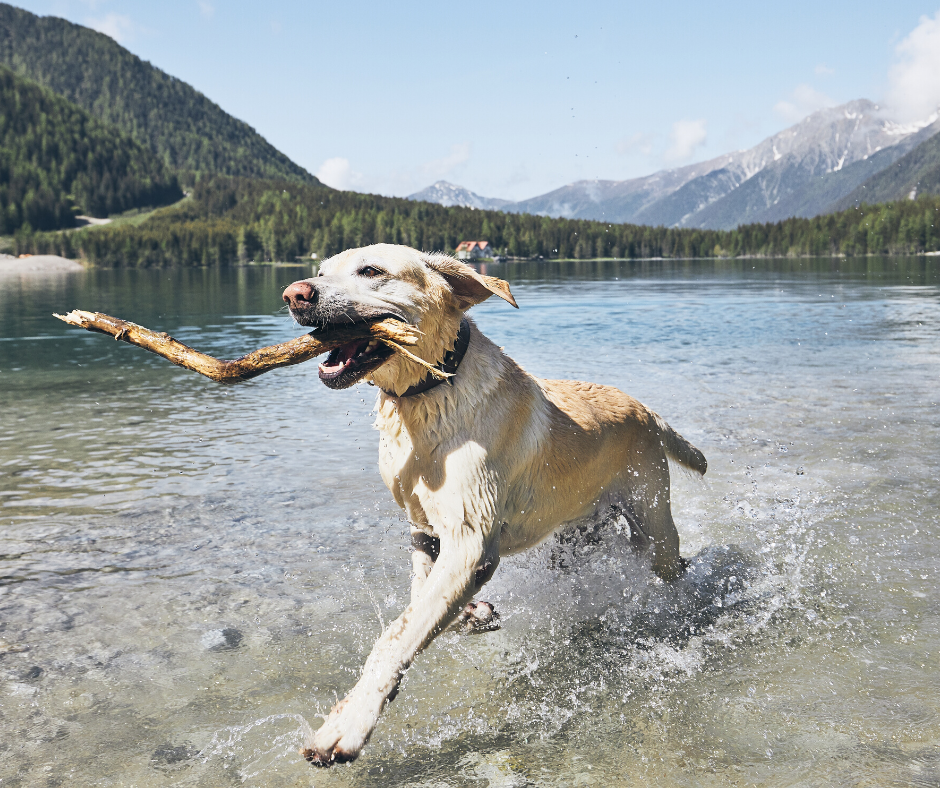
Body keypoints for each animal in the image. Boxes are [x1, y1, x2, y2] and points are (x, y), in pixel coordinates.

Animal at [280, 242, 704, 764]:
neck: (429, 395)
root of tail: (646, 411)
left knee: (671, 562)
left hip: (654, 518)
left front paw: (346, 726)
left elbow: (393, 639)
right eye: (320, 271)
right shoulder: (425, 532)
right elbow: (419, 608)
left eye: (371, 270)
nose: (295, 294)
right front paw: (473, 615)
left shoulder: (470, 542)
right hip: (573, 538)